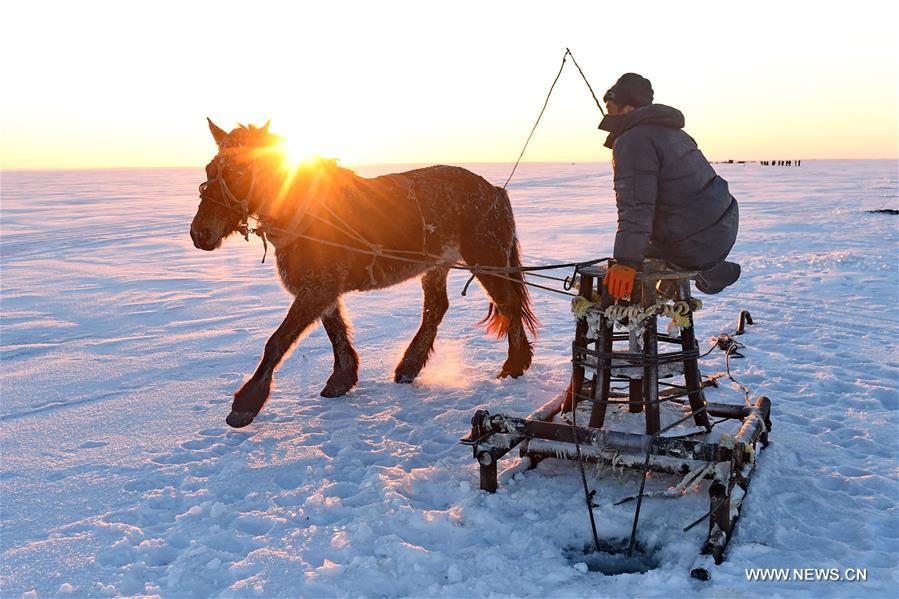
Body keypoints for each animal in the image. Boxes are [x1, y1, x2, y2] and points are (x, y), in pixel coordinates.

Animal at [190, 118, 536, 426]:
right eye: (209, 170)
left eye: (239, 173)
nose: (200, 233)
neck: (306, 211)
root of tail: (494, 190)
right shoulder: (321, 288)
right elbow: (335, 330)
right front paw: (342, 378)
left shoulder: (319, 287)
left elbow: (278, 340)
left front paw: (246, 402)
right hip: (437, 266)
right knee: (436, 308)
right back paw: (410, 366)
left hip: (487, 259)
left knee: (508, 304)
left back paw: (514, 364)